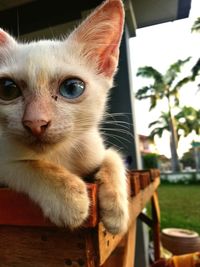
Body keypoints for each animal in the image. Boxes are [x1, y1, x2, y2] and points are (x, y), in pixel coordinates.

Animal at [0, 0, 129, 234]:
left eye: (71, 88)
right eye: (7, 89)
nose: (35, 122)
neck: (61, 155)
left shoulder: (94, 146)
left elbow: (113, 156)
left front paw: (117, 209)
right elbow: (25, 163)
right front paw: (69, 198)